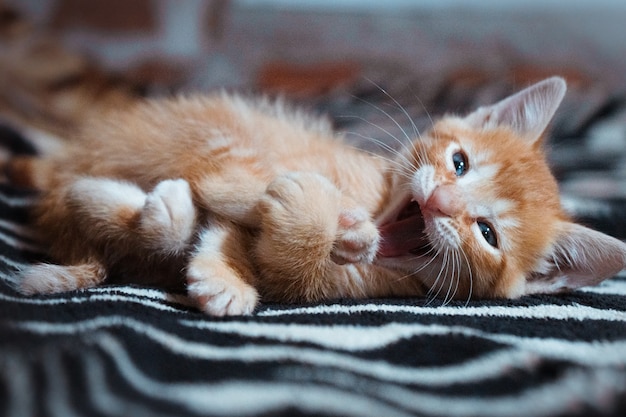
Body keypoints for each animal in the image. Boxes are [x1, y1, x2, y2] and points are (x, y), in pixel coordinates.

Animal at [9, 76, 624, 314]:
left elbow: (258, 253)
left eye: (489, 234)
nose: (440, 205)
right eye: (459, 163)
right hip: (213, 127)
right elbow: (243, 197)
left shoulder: (317, 284)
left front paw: (222, 280)